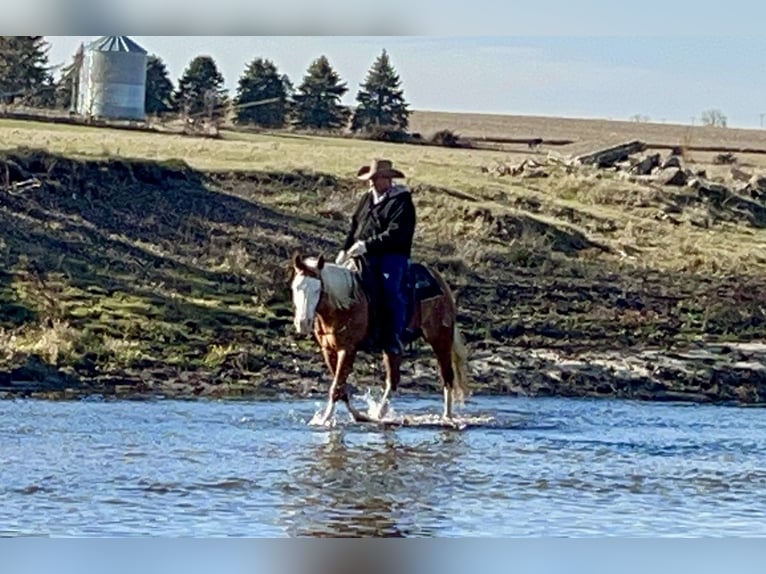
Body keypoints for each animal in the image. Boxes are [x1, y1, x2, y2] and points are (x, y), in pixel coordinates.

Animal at [292, 253, 472, 428]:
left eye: (317, 289)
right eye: (295, 288)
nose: (303, 323)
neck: (345, 305)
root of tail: (440, 281)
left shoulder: (347, 349)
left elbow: (336, 387)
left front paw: (324, 419)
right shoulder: (329, 350)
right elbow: (341, 388)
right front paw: (358, 416)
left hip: (440, 338)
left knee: (446, 378)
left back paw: (446, 417)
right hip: (393, 347)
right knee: (393, 380)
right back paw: (380, 414)